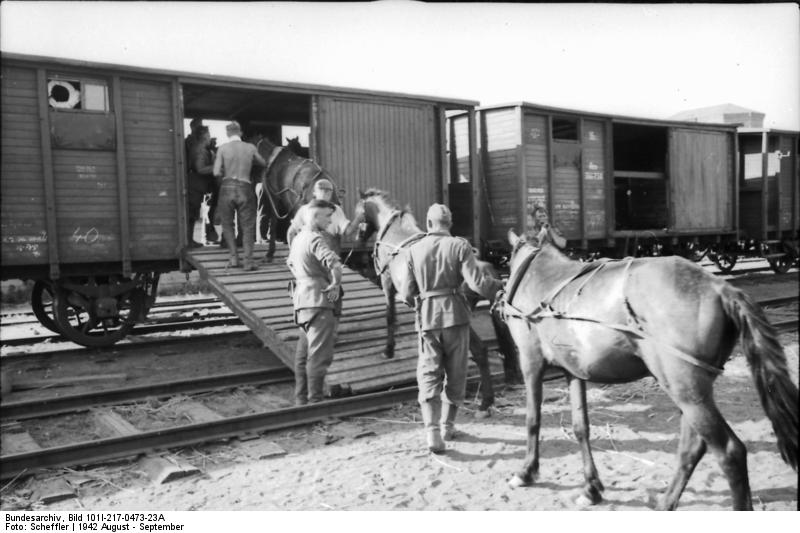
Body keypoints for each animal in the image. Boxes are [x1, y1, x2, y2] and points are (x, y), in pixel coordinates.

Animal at [496, 233, 796, 508]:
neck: (539, 273)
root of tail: (718, 287)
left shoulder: (531, 362)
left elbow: (532, 420)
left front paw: (526, 472)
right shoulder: (573, 371)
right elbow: (581, 427)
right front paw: (591, 488)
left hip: (685, 389)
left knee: (730, 452)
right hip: (691, 389)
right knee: (691, 448)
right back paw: (666, 502)